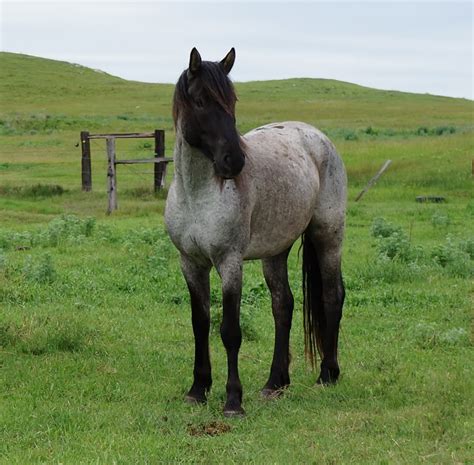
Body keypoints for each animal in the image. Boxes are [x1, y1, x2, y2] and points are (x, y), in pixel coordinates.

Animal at [165, 48, 346, 416]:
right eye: (201, 102)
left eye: (232, 101)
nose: (234, 162)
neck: (197, 194)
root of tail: (316, 136)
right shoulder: (191, 263)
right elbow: (200, 324)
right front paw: (198, 389)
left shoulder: (229, 262)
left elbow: (230, 331)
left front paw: (233, 400)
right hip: (275, 251)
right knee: (283, 305)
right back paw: (275, 383)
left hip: (328, 236)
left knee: (332, 297)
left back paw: (327, 374)